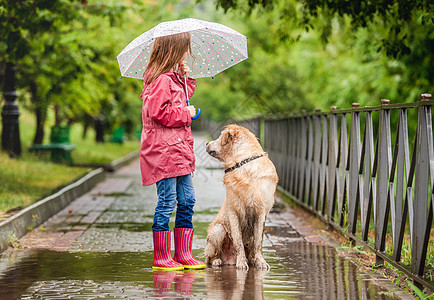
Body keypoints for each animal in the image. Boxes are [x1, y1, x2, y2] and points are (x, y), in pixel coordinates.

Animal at [204, 124, 278, 270]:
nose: (206, 143)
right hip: (217, 230)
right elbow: (238, 241)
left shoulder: (261, 212)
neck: (243, 163)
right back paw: (217, 261)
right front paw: (241, 263)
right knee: (210, 257)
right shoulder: (234, 211)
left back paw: (252, 260)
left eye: (220, 137)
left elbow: (258, 242)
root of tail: (228, 260)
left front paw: (261, 262)